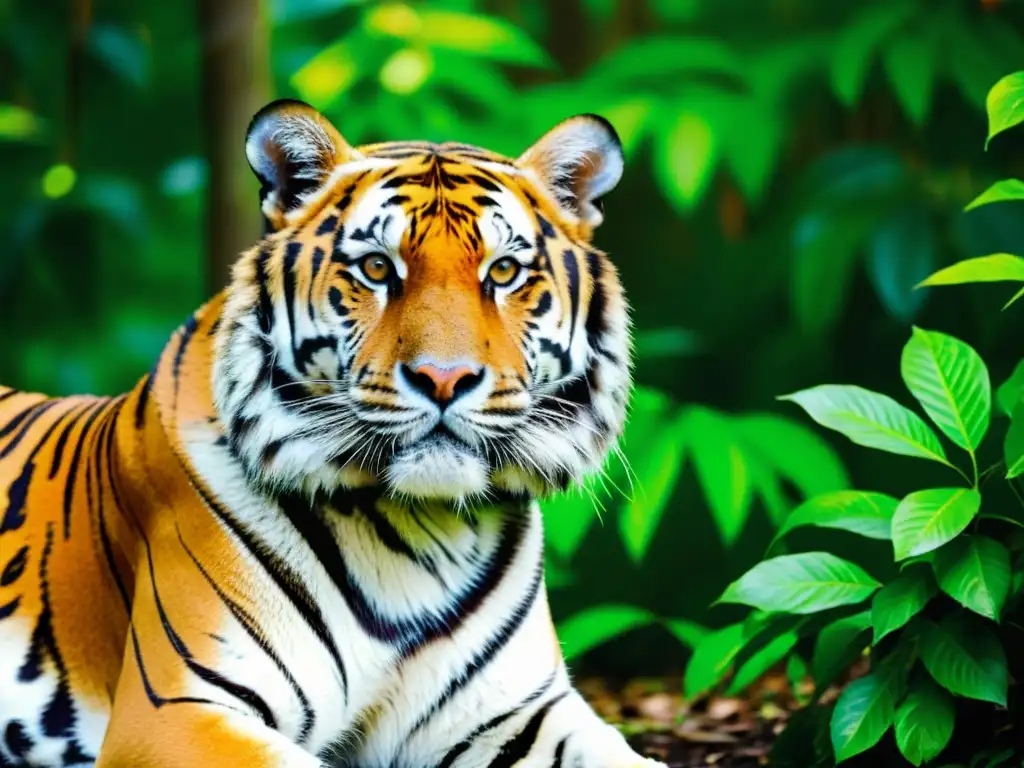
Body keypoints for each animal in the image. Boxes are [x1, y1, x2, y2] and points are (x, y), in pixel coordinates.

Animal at [0, 102, 659, 768]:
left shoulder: (518, 711)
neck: (421, 537)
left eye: (503, 271)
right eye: (376, 268)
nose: (444, 378)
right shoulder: (174, 713)